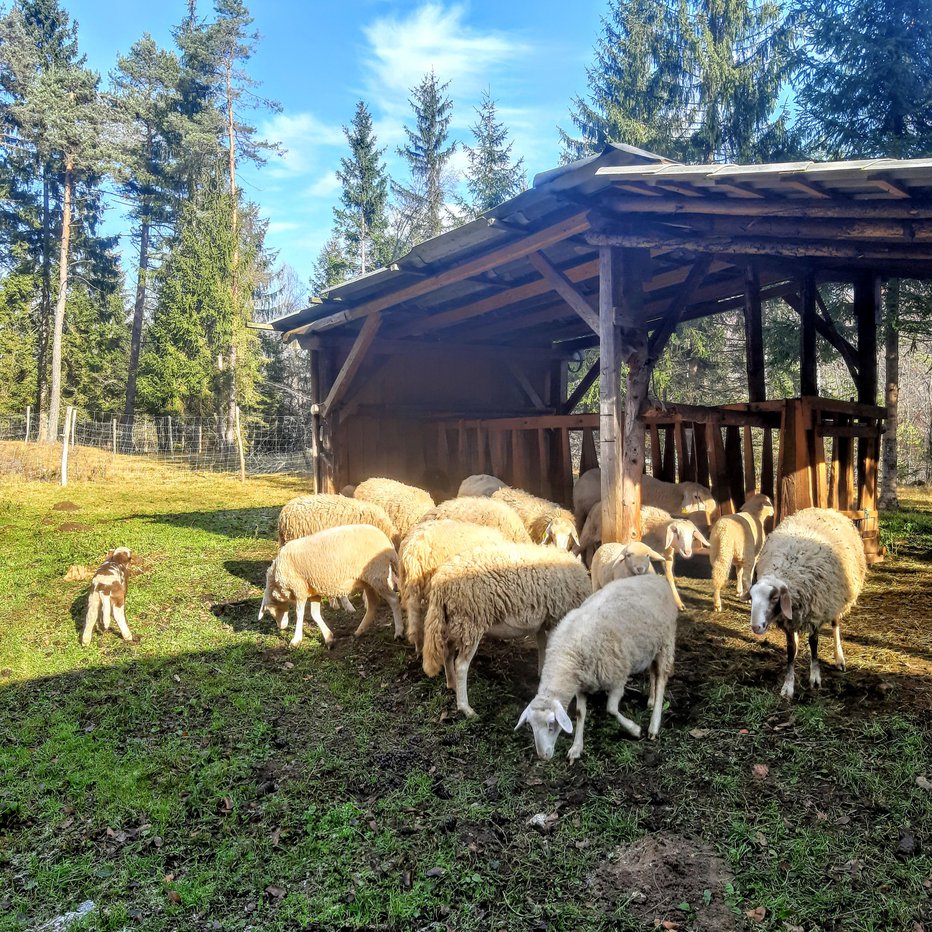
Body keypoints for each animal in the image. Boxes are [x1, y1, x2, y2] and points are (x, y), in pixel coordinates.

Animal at [256, 524, 402, 648]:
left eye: (270, 611)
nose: (281, 627)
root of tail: (387, 542)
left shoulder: (299, 589)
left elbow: (300, 614)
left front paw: (296, 640)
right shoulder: (314, 591)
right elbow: (315, 614)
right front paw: (328, 638)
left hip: (377, 576)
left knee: (394, 600)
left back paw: (399, 632)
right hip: (368, 581)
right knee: (373, 604)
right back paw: (359, 631)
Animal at [424, 544, 588, 716]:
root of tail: (440, 582)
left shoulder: (544, 621)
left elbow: (543, 646)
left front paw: (541, 673)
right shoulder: (556, 617)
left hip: (453, 623)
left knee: (447, 653)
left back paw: (452, 684)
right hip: (471, 622)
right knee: (461, 665)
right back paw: (466, 708)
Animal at [516, 576, 676, 764]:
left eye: (551, 725)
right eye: (531, 725)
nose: (543, 756)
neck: (568, 656)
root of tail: (657, 578)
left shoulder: (617, 679)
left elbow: (611, 710)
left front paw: (635, 730)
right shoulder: (582, 684)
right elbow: (580, 713)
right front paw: (576, 748)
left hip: (666, 642)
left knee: (661, 679)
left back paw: (654, 725)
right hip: (651, 647)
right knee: (653, 673)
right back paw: (651, 700)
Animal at [748, 510, 872, 700]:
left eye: (775, 598)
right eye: (752, 597)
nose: (756, 626)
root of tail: (825, 510)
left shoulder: (816, 614)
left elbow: (814, 644)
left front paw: (815, 677)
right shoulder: (789, 621)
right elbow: (790, 650)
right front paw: (788, 685)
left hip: (835, 600)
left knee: (836, 626)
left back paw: (839, 658)